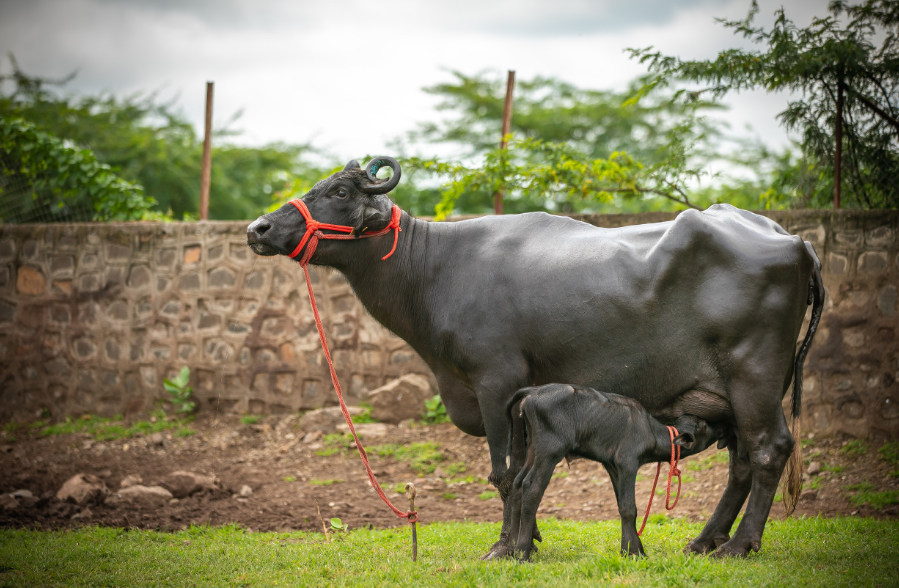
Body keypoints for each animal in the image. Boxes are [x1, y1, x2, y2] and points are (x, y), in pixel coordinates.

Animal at [506, 384, 726, 560]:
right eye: (704, 425)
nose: (722, 426)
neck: (651, 431)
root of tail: (533, 391)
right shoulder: (628, 463)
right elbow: (629, 508)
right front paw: (633, 552)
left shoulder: (613, 467)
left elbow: (621, 505)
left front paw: (633, 549)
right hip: (549, 451)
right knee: (532, 487)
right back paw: (523, 552)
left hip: (533, 448)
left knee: (517, 483)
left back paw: (511, 549)